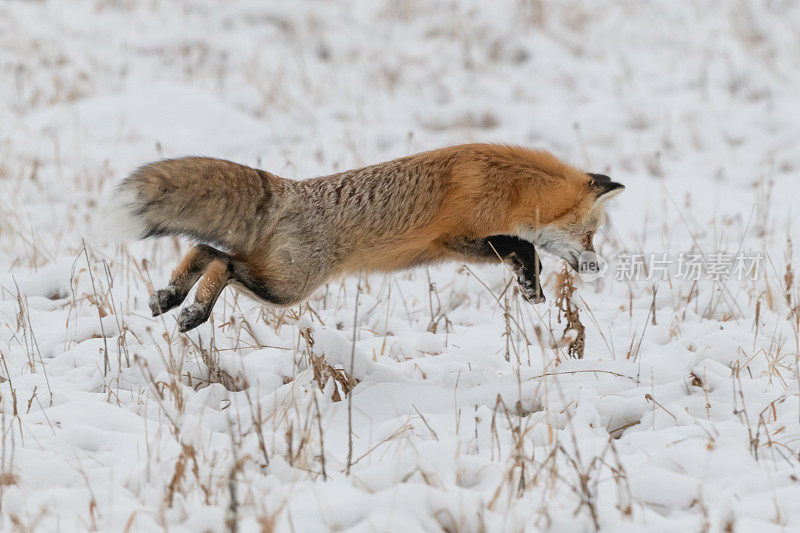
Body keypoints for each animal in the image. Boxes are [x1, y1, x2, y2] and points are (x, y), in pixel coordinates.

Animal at [112, 143, 624, 330]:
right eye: (592, 235)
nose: (598, 267)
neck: (507, 182)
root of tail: (288, 189)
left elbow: (525, 248)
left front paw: (529, 287)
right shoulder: (454, 237)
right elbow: (525, 247)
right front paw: (530, 283)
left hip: (276, 278)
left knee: (203, 248)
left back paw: (170, 297)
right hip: (287, 288)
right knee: (220, 262)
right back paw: (194, 311)